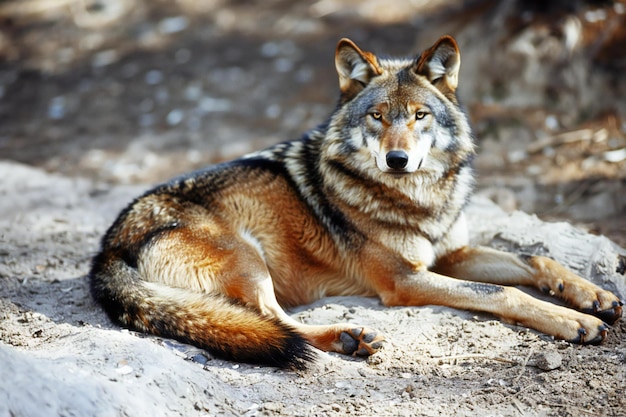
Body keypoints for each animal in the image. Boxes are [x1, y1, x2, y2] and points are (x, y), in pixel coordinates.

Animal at [88, 35, 620, 368]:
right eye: (378, 116)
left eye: (420, 115)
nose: (397, 159)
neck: (419, 199)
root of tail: (105, 249)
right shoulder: (406, 280)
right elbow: (504, 293)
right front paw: (576, 322)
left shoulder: (452, 254)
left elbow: (535, 260)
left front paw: (593, 296)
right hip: (248, 258)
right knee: (273, 324)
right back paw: (348, 338)